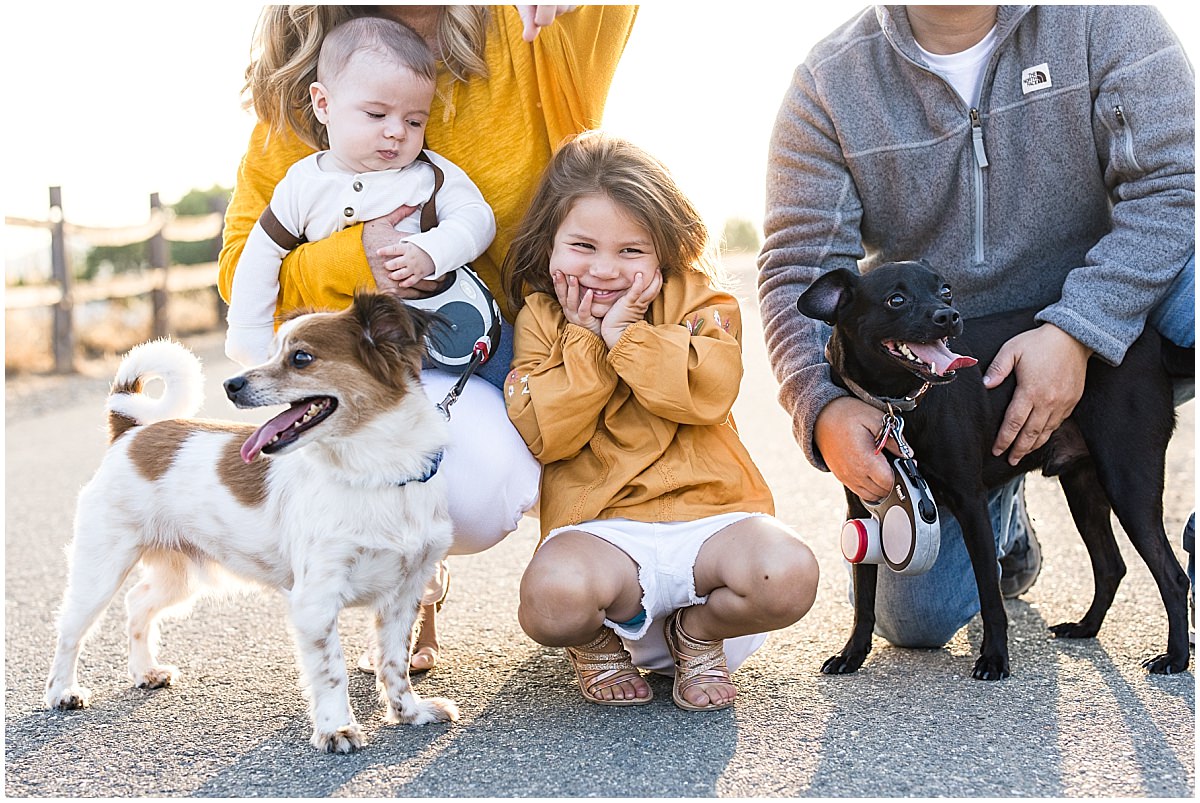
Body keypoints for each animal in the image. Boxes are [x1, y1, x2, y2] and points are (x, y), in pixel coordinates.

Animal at [44, 291, 456, 748]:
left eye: (300, 357)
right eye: (273, 351)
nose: (230, 385)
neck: (377, 475)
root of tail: (132, 431)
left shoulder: (404, 596)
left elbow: (394, 663)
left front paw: (408, 713)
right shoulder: (315, 601)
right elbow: (332, 672)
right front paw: (336, 728)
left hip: (178, 576)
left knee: (138, 604)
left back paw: (144, 671)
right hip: (100, 570)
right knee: (71, 629)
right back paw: (63, 691)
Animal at [796, 261, 1190, 676]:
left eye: (946, 290)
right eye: (896, 299)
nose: (948, 316)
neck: (897, 405)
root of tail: (1151, 341)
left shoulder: (972, 505)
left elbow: (989, 593)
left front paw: (995, 657)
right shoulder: (862, 510)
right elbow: (865, 593)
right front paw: (852, 653)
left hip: (1127, 481)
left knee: (1173, 576)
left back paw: (1176, 657)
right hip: (1083, 488)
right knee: (1111, 565)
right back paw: (1086, 627)